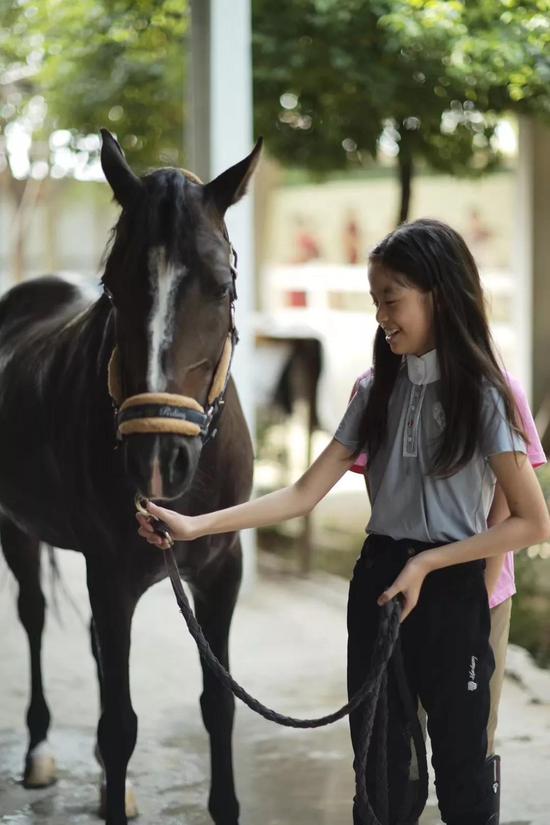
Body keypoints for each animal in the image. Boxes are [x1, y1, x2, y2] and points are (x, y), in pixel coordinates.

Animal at [0, 128, 261, 825]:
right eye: (112, 287)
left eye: (221, 284)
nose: (157, 462)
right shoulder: (111, 575)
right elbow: (119, 727)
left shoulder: (222, 572)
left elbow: (219, 705)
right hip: (16, 530)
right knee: (33, 615)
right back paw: (39, 751)